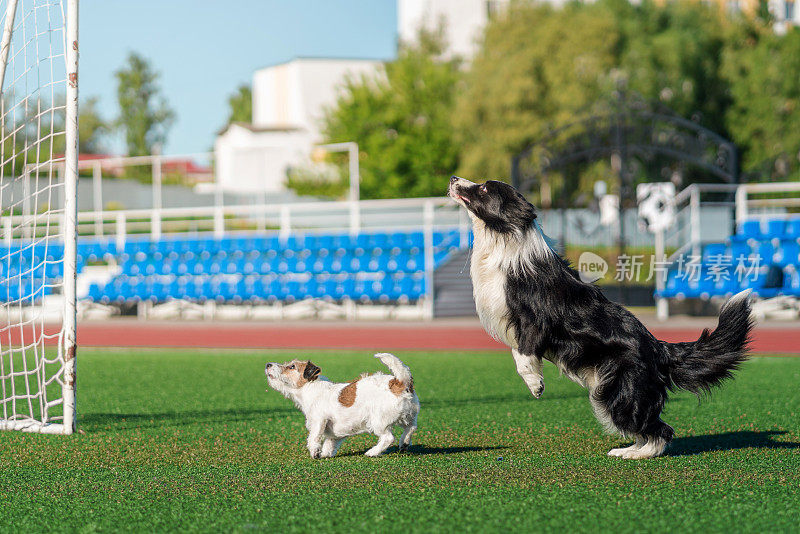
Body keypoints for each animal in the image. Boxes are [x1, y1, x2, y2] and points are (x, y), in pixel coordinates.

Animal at [266, 352, 422, 460]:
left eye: (291, 366)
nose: (268, 364)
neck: (310, 388)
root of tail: (399, 382)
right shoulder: (334, 433)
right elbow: (329, 444)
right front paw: (325, 454)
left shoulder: (318, 420)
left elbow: (313, 437)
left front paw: (315, 452)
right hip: (408, 416)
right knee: (411, 427)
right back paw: (404, 443)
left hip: (378, 421)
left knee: (388, 438)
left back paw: (372, 452)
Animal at [446, 177, 752, 460]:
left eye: (485, 188)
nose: (453, 178)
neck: (504, 236)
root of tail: (658, 347)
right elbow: (516, 350)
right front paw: (537, 381)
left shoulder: (534, 321)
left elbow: (522, 356)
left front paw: (535, 386)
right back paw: (629, 448)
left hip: (619, 392)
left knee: (660, 429)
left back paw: (634, 454)